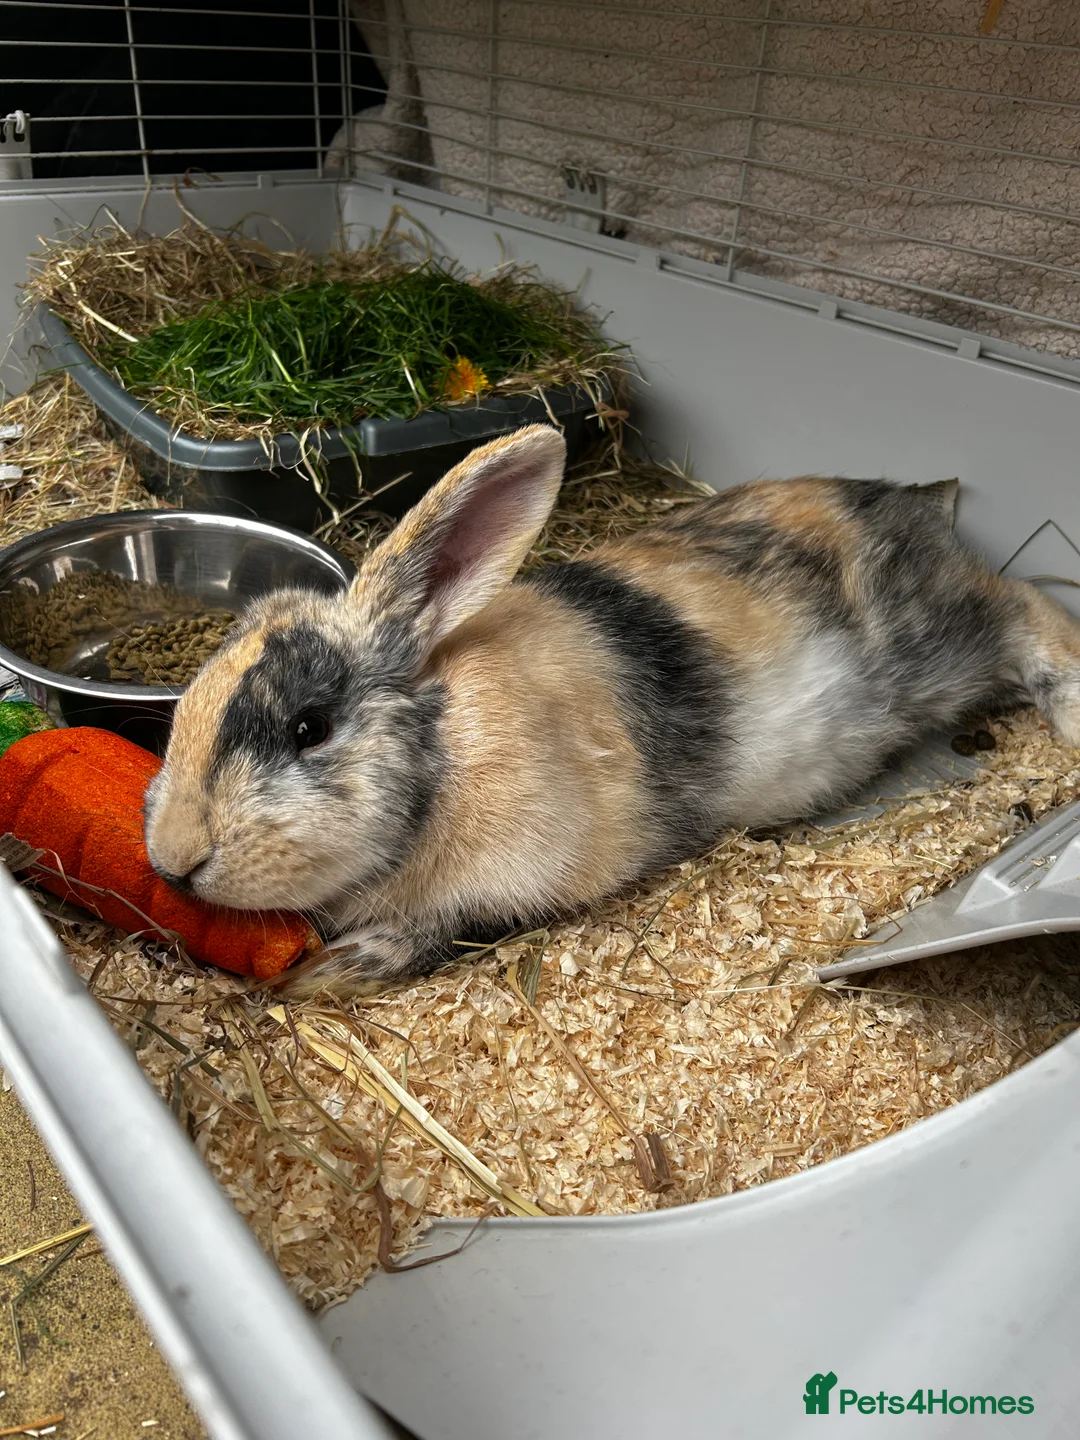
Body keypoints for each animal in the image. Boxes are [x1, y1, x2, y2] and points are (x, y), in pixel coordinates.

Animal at [144, 424, 1080, 996]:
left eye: (310, 727)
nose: (174, 861)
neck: (440, 748)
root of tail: (921, 504)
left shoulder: (520, 882)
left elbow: (446, 927)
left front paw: (329, 973)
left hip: (942, 646)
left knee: (1027, 606)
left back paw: (1069, 716)